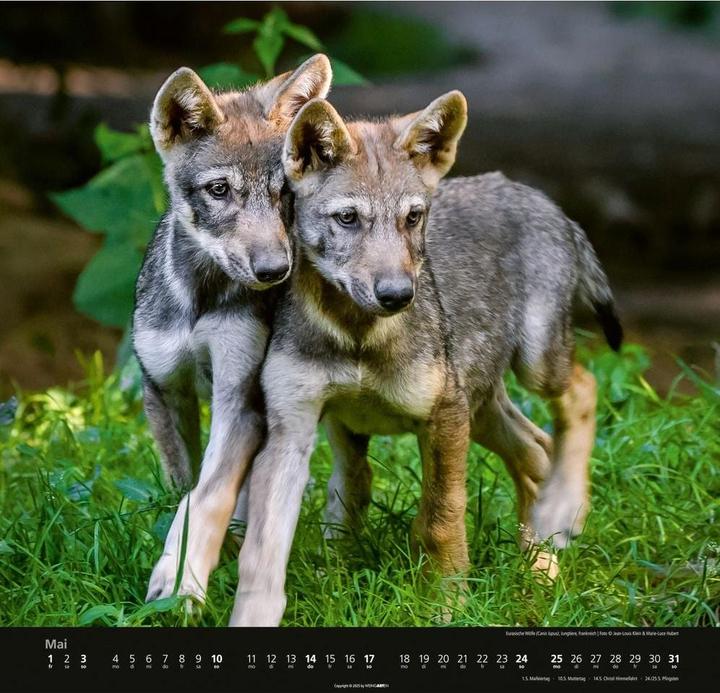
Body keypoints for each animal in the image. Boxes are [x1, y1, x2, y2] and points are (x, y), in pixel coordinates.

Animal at [132, 55, 332, 602]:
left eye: (284, 193)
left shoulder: (240, 397)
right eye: (219, 190)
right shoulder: (164, 390)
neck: (200, 303)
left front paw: (181, 584)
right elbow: (184, 490)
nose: (274, 271)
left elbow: (206, 496)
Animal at [225, 92, 622, 626]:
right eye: (348, 218)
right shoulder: (293, 428)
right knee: (536, 449)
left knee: (582, 391)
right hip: (482, 405)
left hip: (534, 366)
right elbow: (267, 547)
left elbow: (439, 521)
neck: (357, 335)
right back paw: (540, 563)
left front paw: (448, 605)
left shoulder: (443, 417)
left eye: (412, 218)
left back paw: (564, 514)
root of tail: (536, 196)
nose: (397, 294)